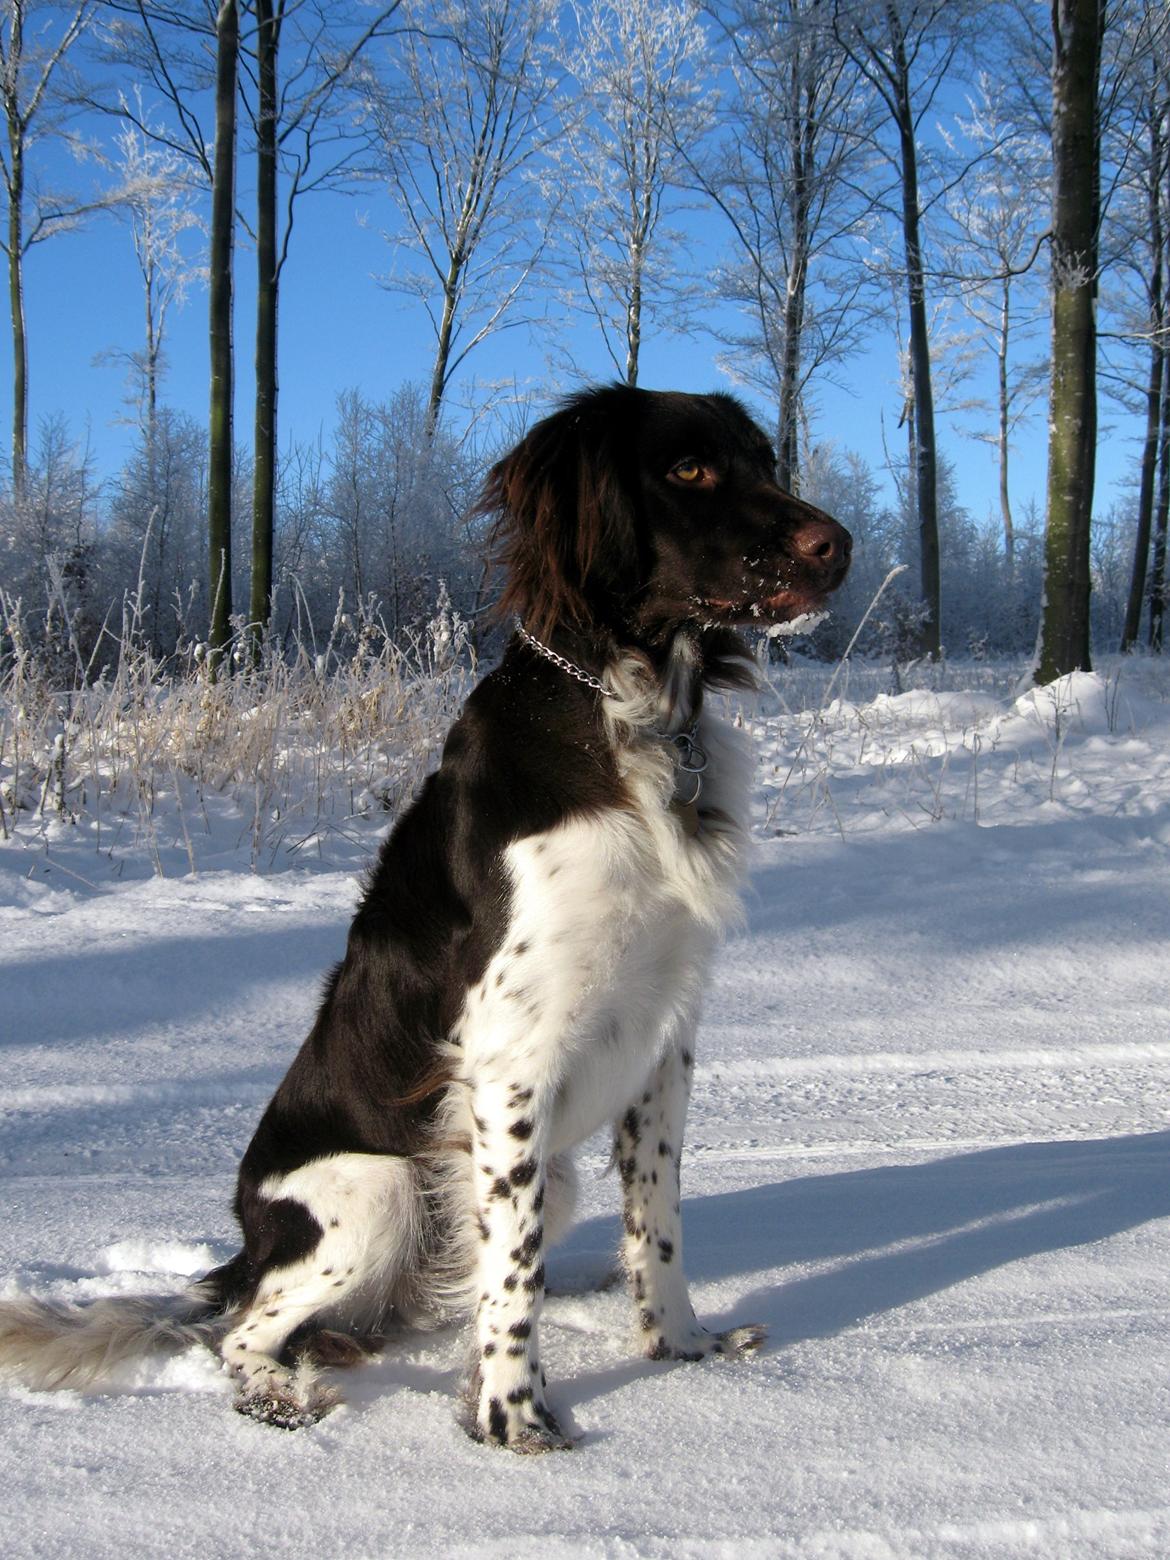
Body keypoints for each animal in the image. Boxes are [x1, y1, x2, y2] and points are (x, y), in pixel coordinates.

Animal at [0, 380, 854, 1447]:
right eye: (689, 469)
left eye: (765, 462)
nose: (840, 545)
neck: (631, 717)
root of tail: (243, 1245)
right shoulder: (508, 1058)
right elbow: (513, 1274)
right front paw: (514, 1421)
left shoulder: (666, 1041)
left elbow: (656, 1217)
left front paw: (682, 1347)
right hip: (376, 1187)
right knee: (245, 1332)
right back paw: (284, 1394)